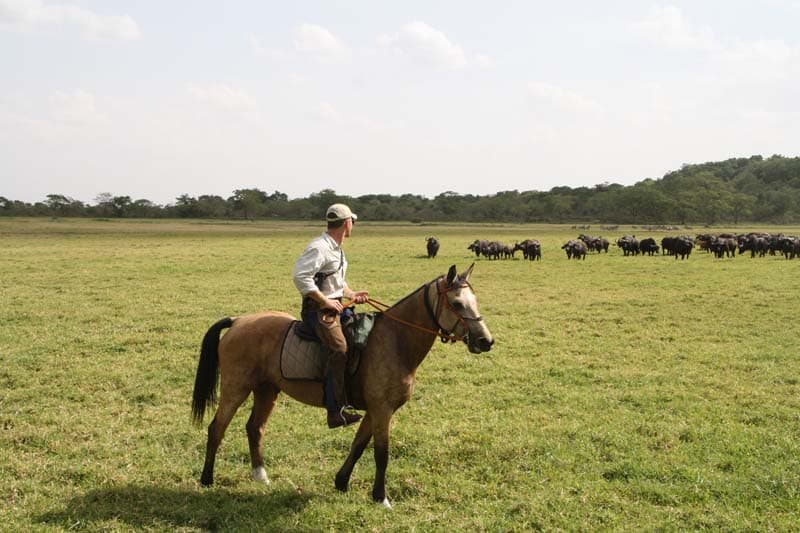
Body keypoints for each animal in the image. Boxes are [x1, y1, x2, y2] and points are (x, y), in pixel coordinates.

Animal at [191, 264, 494, 508]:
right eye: (456, 303)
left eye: (474, 300)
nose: (486, 341)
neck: (395, 341)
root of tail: (238, 321)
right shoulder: (382, 410)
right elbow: (381, 453)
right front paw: (381, 497)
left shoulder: (375, 410)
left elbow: (358, 445)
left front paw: (341, 482)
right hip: (235, 388)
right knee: (217, 428)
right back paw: (207, 479)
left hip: (266, 390)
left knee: (255, 428)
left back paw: (260, 475)